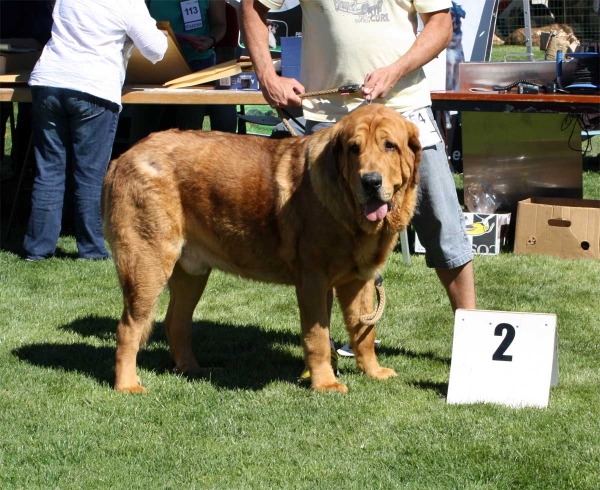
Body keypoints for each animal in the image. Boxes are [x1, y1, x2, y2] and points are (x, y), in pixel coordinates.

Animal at [103, 103, 420, 394]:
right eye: (354, 149)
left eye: (389, 146)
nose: (370, 181)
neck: (347, 207)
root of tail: (123, 157)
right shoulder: (313, 281)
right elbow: (318, 337)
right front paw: (325, 383)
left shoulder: (358, 280)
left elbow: (363, 331)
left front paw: (373, 371)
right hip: (148, 266)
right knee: (128, 327)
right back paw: (127, 384)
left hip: (191, 274)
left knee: (176, 322)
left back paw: (192, 368)